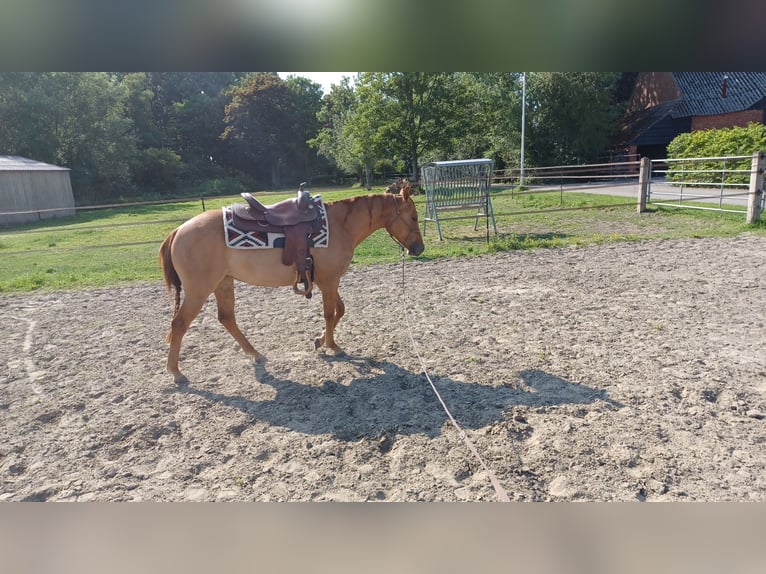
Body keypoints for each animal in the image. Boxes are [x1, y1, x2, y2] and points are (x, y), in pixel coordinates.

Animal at [159, 184, 425, 385]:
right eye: (413, 217)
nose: (419, 248)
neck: (341, 226)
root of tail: (178, 230)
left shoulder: (328, 281)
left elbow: (340, 310)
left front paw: (320, 341)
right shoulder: (330, 280)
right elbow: (330, 313)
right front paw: (333, 346)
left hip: (223, 283)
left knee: (227, 318)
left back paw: (255, 355)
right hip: (199, 290)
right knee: (179, 324)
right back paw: (176, 372)